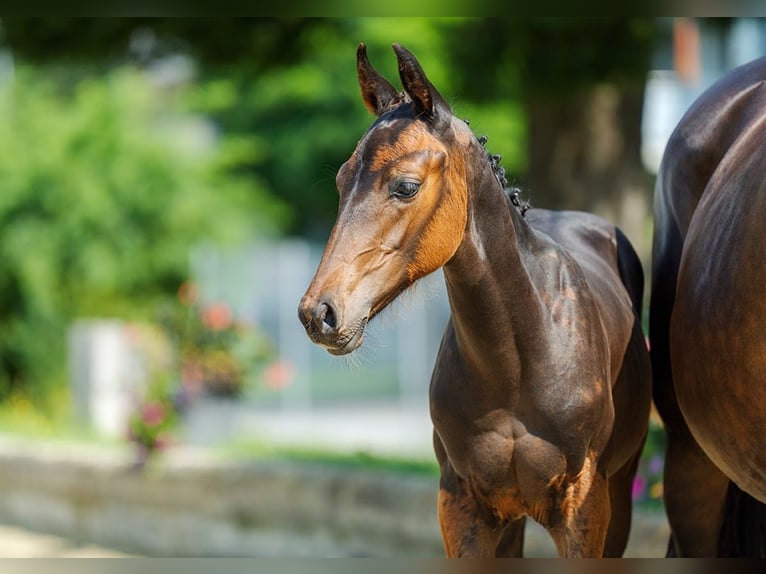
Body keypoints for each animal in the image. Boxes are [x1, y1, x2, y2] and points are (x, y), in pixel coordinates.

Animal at [296, 44, 652, 560]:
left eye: (405, 185)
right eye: (342, 181)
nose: (318, 313)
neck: (520, 359)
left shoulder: (585, 511)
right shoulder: (463, 508)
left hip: (620, 492)